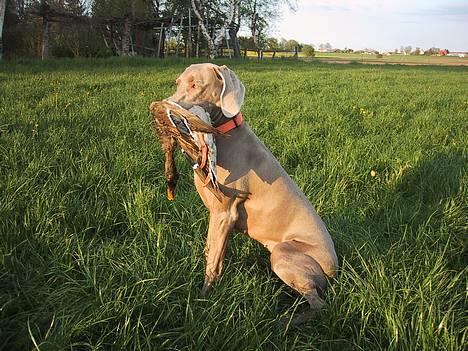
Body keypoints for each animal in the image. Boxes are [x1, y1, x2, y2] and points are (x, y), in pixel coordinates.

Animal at [166, 64, 334, 324]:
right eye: (178, 83)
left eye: (196, 85)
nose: (167, 109)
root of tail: (335, 268)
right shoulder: (218, 218)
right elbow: (211, 251)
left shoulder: (224, 213)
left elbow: (212, 262)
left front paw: (202, 299)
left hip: (284, 253)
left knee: (320, 304)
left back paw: (285, 321)